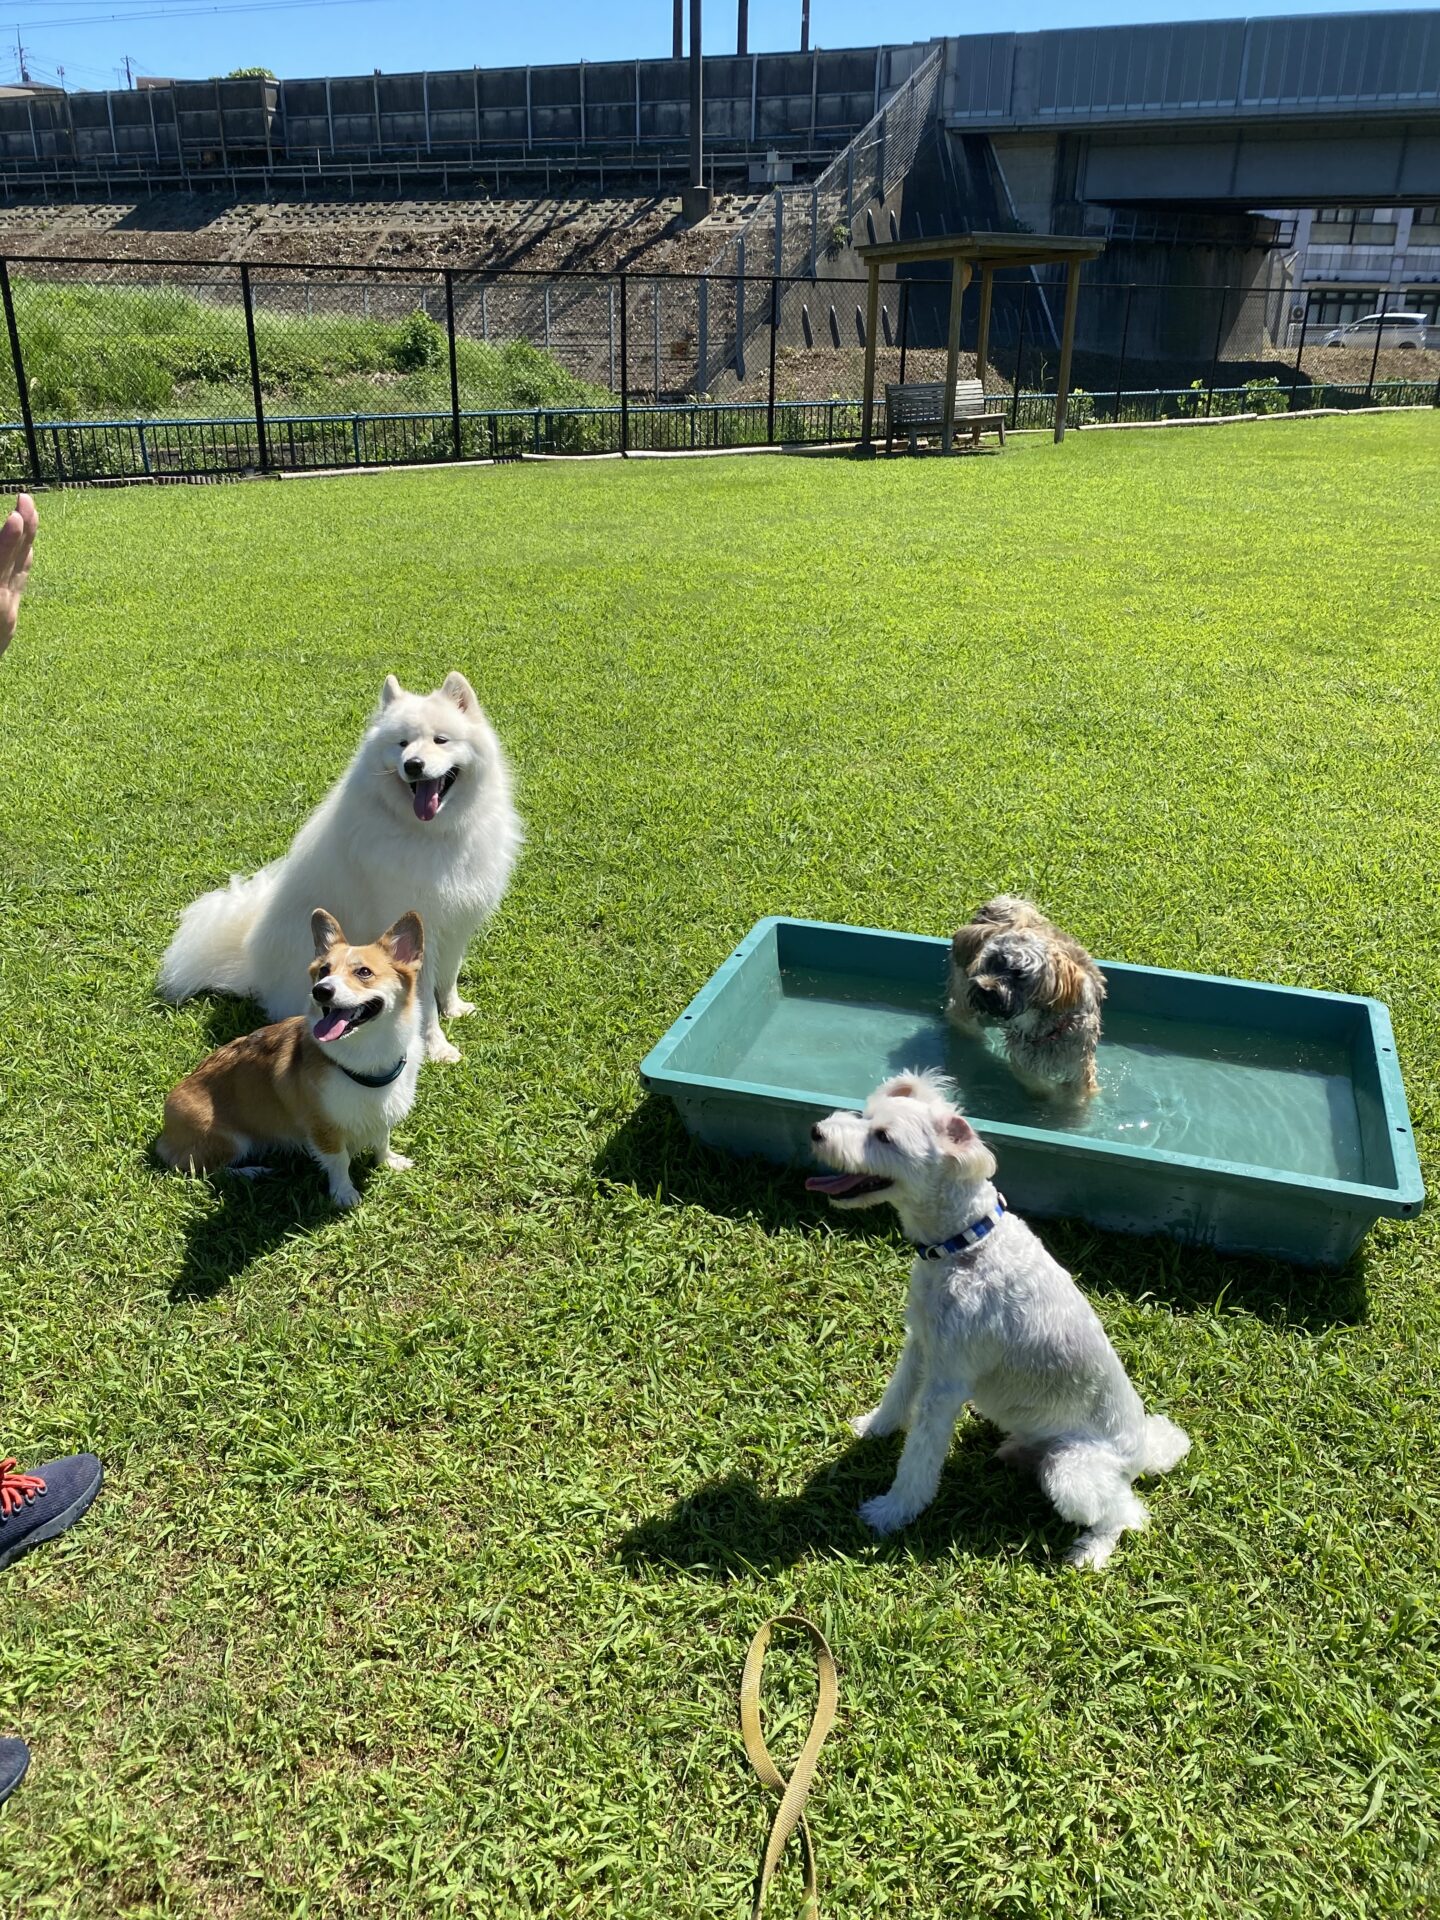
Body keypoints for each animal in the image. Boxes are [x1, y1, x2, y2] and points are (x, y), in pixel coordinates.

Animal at [159, 672, 521, 1065]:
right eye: (402, 744)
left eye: (441, 740)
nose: (413, 764)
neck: (433, 831)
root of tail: (253, 971)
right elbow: (424, 1001)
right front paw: (438, 1047)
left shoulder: (457, 920)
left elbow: (450, 973)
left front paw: (454, 1009)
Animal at [159, 909, 424, 1209]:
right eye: (323, 971)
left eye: (364, 972)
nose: (321, 990)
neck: (367, 1056)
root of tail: (164, 1136)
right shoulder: (323, 1128)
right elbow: (339, 1160)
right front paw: (344, 1194)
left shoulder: (383, 1113)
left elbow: (382, 1139)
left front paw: (389, 1162)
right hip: (229, 1139)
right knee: (204, 1169)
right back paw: (252, 1171)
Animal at [807, 1071, 1189, 1568]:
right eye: (866, 1115)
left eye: (884, 1137)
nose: (817, 1131)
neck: (964, 1244)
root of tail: (1142, 1450)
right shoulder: (921, 1343)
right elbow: (896, 1396)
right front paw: (873, 1429)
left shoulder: (946, 1383)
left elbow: (918, 1459)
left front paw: (891, 1512)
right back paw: (1014, 1452)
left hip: (1073, 1472)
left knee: (1126, 1512)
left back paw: (1090, 1552)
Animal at [945, 895, 1105, 1100]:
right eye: (992, 963)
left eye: (1018, 972)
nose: (984, 988)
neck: (1046, 1031)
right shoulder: (1025, 1061)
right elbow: (1037, 1084)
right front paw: (1048, 1094)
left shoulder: (1080, 1065)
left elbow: (1077, 1095)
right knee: (960, 1016)